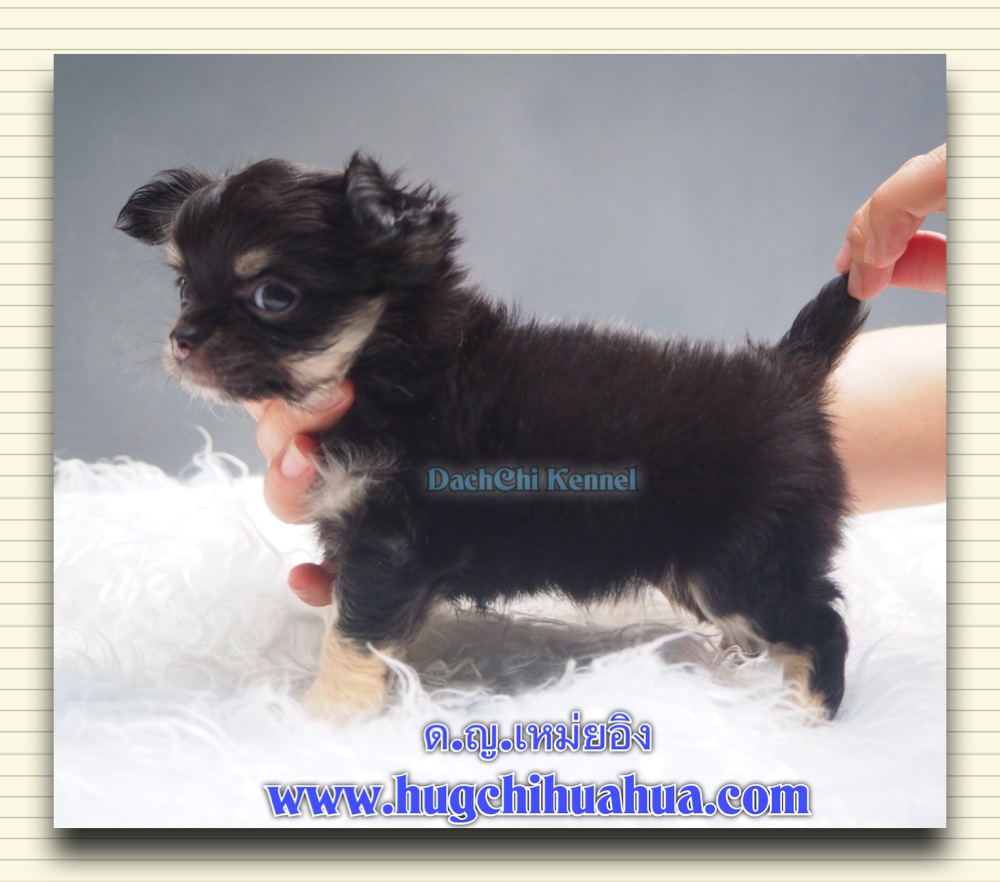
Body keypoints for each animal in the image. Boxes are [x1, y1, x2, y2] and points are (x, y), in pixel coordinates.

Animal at [116, 153, 867, 720]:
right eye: (183, 287)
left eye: (273, 296)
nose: (181, 340)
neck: (393, 364)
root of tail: (789, 368)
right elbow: (362, 627)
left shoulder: (389, 541)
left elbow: (353, 635)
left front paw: (323, 717)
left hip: (738, 565)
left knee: (821, 626)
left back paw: (801, 716)